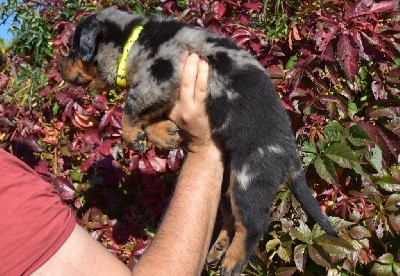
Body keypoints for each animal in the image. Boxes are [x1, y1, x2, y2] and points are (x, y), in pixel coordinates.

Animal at [60, 7, 338, 274]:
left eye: (74, 48)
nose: (59, 68)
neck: (134, 39)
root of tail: (291, 156)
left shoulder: (159, 75)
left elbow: (131, 108)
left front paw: (131, 135)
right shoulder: (165, 90)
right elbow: (152, 115)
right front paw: (164, 134)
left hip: (249, 179)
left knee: (253, 224)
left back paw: (232, 262)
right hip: (229, 184)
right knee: (232, 218)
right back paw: (217, 250)